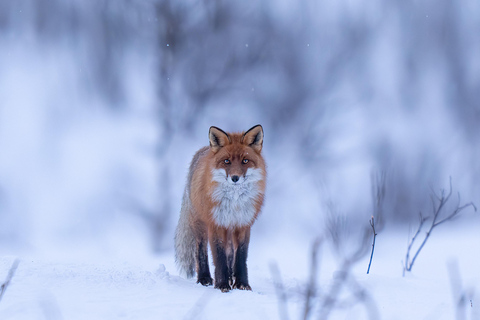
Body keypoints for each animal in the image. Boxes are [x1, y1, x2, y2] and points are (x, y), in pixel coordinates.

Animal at [175, 125, 266, 292]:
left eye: (245, 161)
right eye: (226, 161)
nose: (235, 178)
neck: (234, 202)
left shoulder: (243, 224)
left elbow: (240, 257)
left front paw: (242, 284)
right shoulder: (216, 224)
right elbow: (219, 256)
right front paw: (222, 284)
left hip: (228, 229)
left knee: (230, 253)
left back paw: (230, 277)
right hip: (200, 224)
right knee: (201, 252)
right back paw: (204, 278)